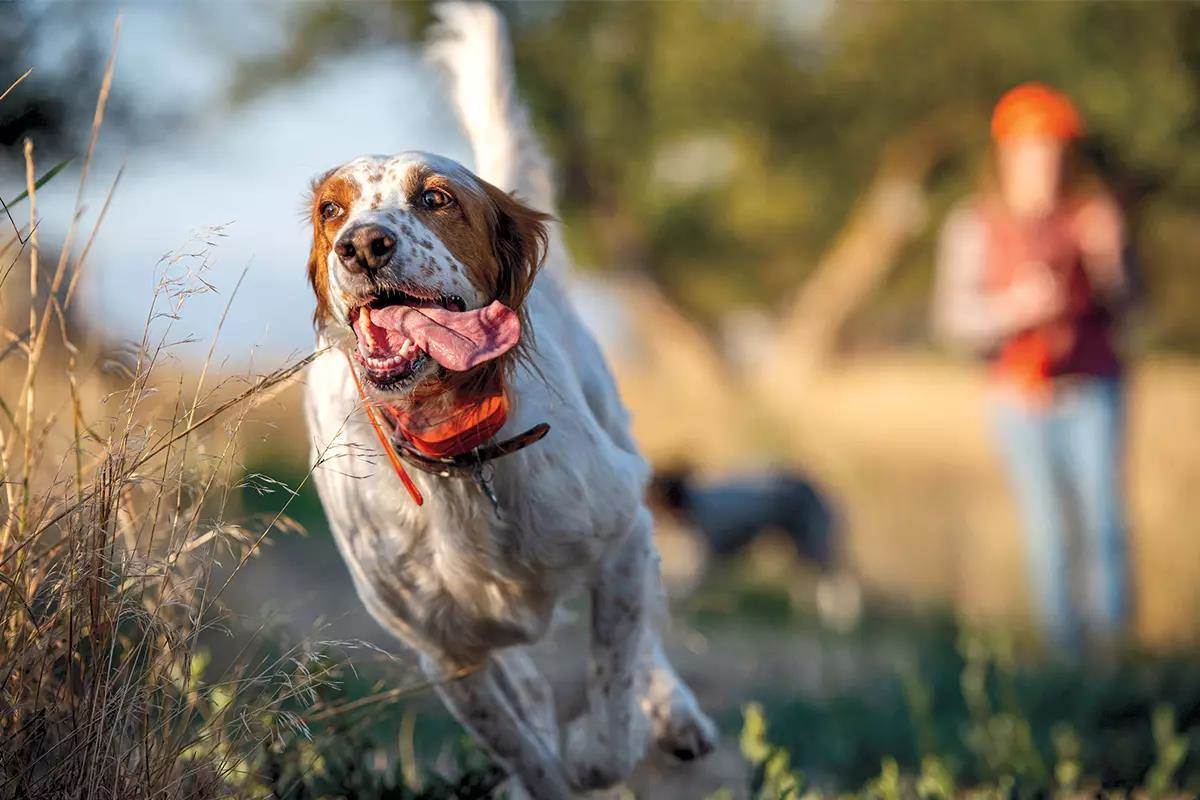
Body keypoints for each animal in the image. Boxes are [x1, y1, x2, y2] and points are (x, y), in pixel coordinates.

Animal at [304, 4, 710, 796]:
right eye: (332, 210)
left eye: (436, 198)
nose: (362, 245)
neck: (463, 456)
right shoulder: (448, 656)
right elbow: (526, 752)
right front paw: (545, 768)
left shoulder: (621, 536)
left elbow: (615, 700)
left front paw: (604, 744)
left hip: (625, 463)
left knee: (648, 633)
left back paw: (677, 714)